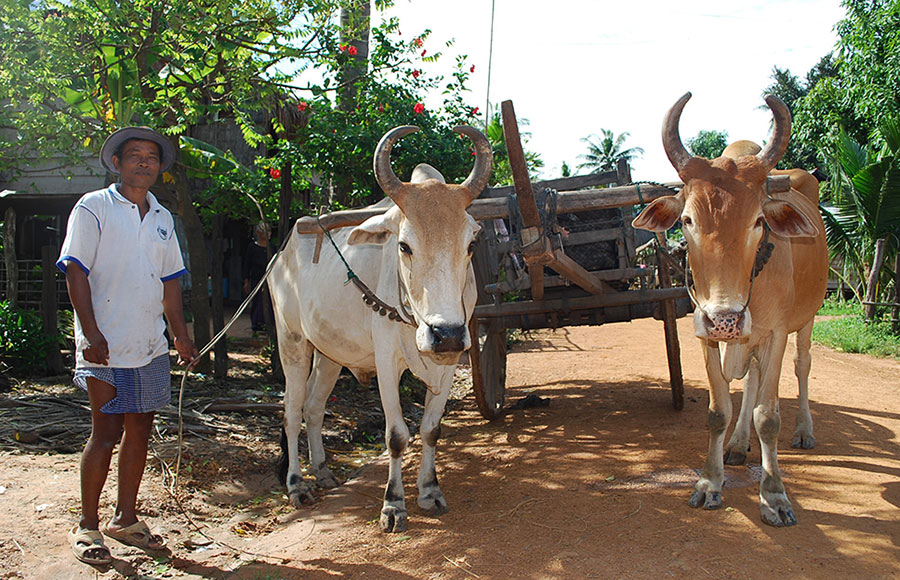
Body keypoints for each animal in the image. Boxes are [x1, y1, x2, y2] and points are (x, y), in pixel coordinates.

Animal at [268, 124, 492, 532]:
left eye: (471, 243)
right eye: (404, 245)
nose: (445, 333)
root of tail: (281, 255)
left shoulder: (450, 360)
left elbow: (431, 429)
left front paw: (430, 492)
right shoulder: (387, 363)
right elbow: (397, 436)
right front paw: (393, 505)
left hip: (329, 354)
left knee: (313, 407)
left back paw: (322, 471)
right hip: (291, 341)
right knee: (291, 410)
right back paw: (297, 484)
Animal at [636, 94, 828, 524]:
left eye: (758, 221)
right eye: (687, 219)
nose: (726, 319)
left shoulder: (775, 333)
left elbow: (768, 416)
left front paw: (774, 495)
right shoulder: (705, 334)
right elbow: (718, 410)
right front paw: (710, 481)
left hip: (807, 319)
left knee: (802, 366)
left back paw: (805, 430)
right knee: (752, 380)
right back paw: (739, 444)